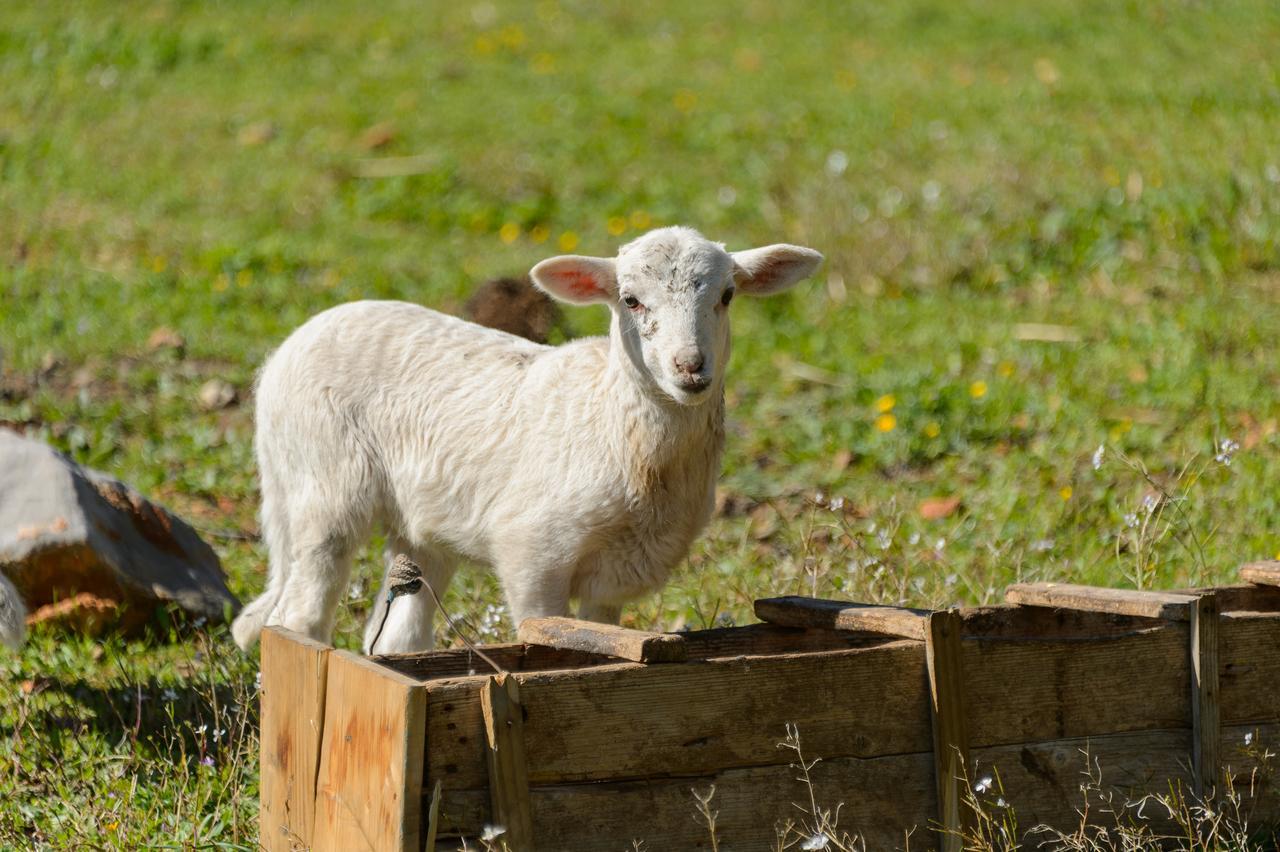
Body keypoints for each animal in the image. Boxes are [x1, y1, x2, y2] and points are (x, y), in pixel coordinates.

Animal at [230, 225, 819, 649]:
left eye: (727, 295)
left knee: (398, 633)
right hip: (322, 482)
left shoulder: (614, 576)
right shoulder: (534, 554)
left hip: (421, 526)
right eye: (630, 300)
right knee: (298, 616)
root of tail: (282, 354)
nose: (691, 367)